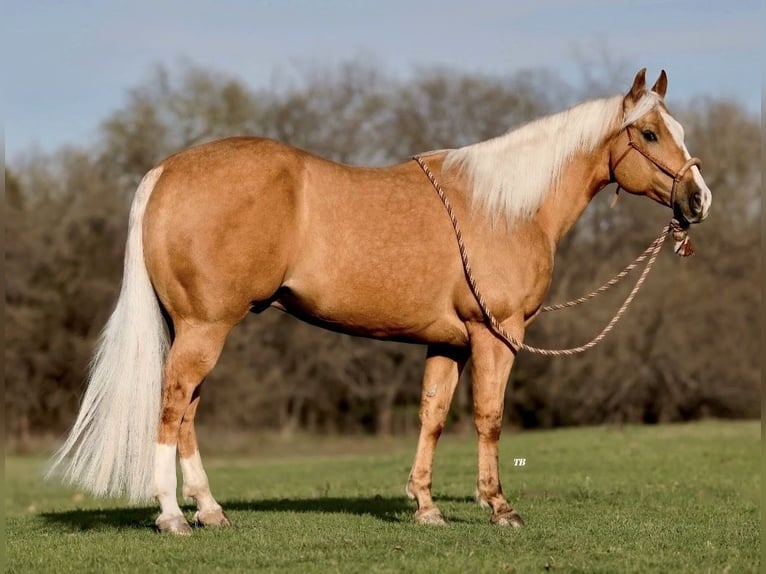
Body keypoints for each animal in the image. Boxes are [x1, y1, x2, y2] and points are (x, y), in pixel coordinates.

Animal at [51, 68, 712, 536]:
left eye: (678, 131)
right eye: (649, 133)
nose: (699, 198)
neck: (505, 205)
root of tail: (165, 171)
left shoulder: (447, 343)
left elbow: (432, 417)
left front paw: (425, 507)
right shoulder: (496, 334)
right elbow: (490, 417)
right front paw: (499, 507)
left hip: (194, 329)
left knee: (186, 412)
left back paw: (210, 510)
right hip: (204, 328)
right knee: (171, 406)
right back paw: (171, 516)